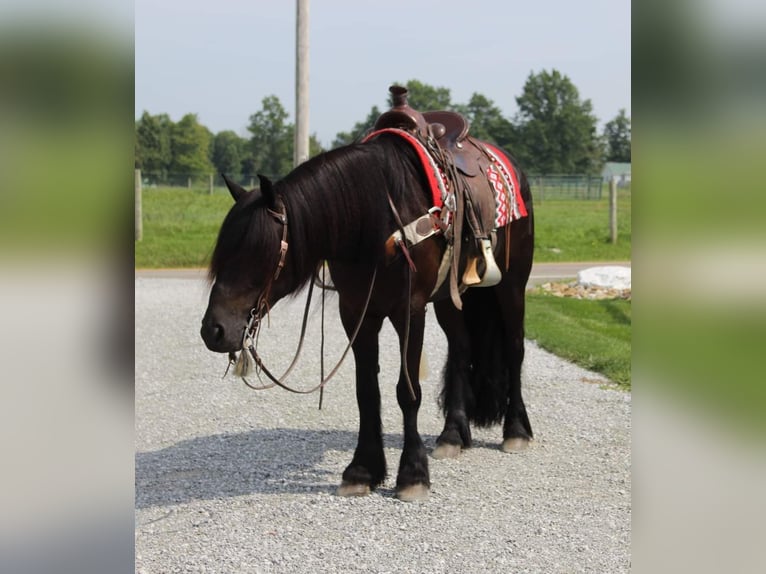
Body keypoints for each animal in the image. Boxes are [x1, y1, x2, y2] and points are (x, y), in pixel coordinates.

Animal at [201, 128, 536, 502]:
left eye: (258, 251)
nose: (213, 330)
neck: (373, 224)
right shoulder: (356, 312)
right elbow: (366, 391)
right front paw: (362, 470)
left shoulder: (409, 311)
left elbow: (408, 392)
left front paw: (413, 474)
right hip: (451, 298)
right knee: (462, 350)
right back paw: (452, 435)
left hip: (511, 285)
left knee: (514, 348)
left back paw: (516, 430)